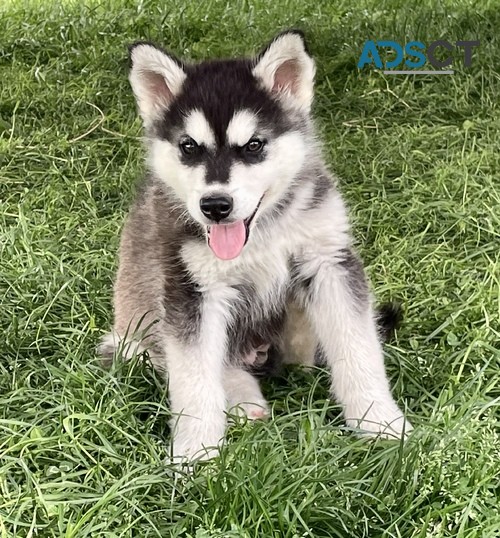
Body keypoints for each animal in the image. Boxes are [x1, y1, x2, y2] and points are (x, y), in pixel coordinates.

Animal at [99, 31, 412, 458]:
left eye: (253, 145)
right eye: (188, 147)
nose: (215, 206)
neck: (262, 232)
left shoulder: (329, 261)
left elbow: (358, 347)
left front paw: (380, 423)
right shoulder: (190, 290)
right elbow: (194, 378)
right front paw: (195, 453)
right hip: (140, 333)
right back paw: (244, 401)